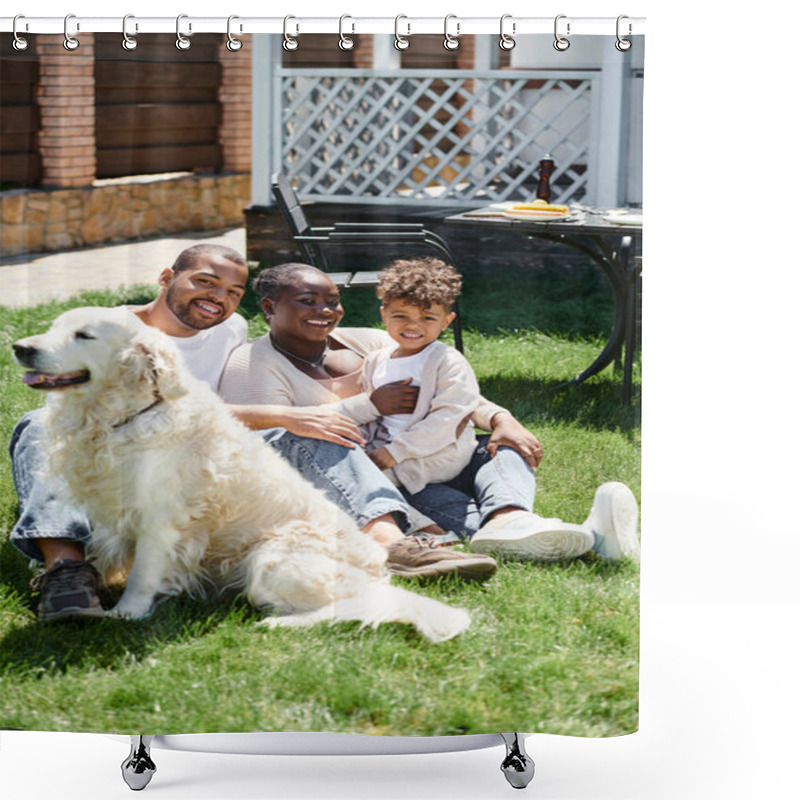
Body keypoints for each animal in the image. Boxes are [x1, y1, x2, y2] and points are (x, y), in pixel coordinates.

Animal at [14, 306, 468, 644]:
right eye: (54, 327)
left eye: (84, 335)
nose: (20, 347)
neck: (122, 417)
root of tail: (378, 574)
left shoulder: (162, 519)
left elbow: (142, 574)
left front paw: (125, 613)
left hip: (270, 557)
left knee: (348, 608)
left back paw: (279, 623)